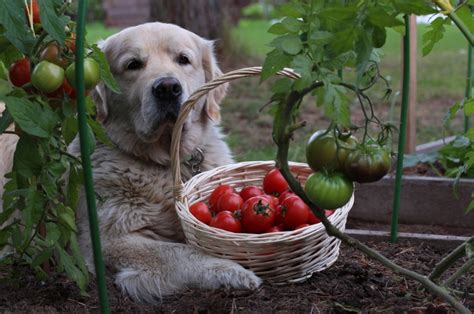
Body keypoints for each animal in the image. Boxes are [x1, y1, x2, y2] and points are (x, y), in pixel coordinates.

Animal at [0, 22, 262, 302]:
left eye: (183, 59)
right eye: (133, 64)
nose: (167, 88)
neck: (162, 161)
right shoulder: (109, 240)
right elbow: (182, 251)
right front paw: (233, 270)